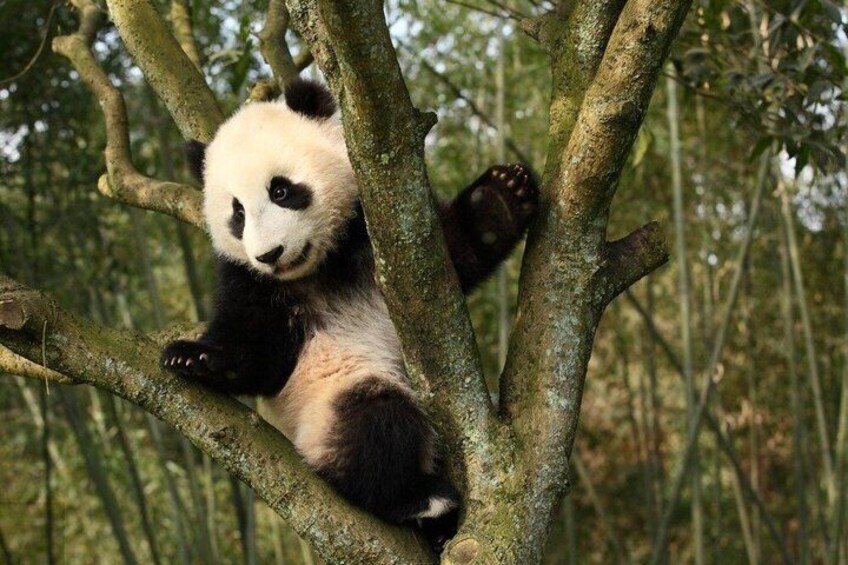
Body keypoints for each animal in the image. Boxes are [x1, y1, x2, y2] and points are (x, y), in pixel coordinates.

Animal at [161, 78, 538, 547]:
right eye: (238, 213)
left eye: (280, 190)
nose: (269, 255)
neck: (323, 263)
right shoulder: (251, 282)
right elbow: (259, 355)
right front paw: (192, 356)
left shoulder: (385, 238)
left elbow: (457, 253)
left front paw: (504, 193)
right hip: (323, 404)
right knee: (373, 419)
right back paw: (417, 500)